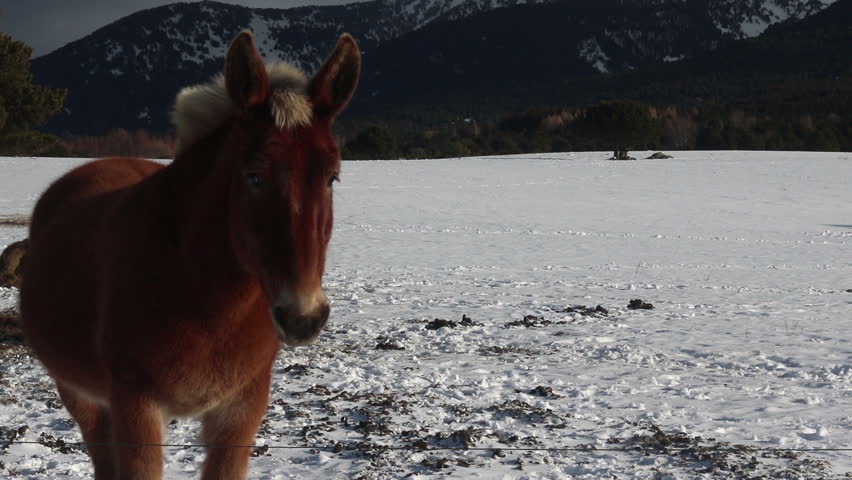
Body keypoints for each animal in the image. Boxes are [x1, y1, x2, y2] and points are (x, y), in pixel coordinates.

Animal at [20, 30, 360, 479]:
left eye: (332, 177)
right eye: (253, 176)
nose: (302, 317)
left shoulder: (240, 416)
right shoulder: (136, 413)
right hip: (82, 397)